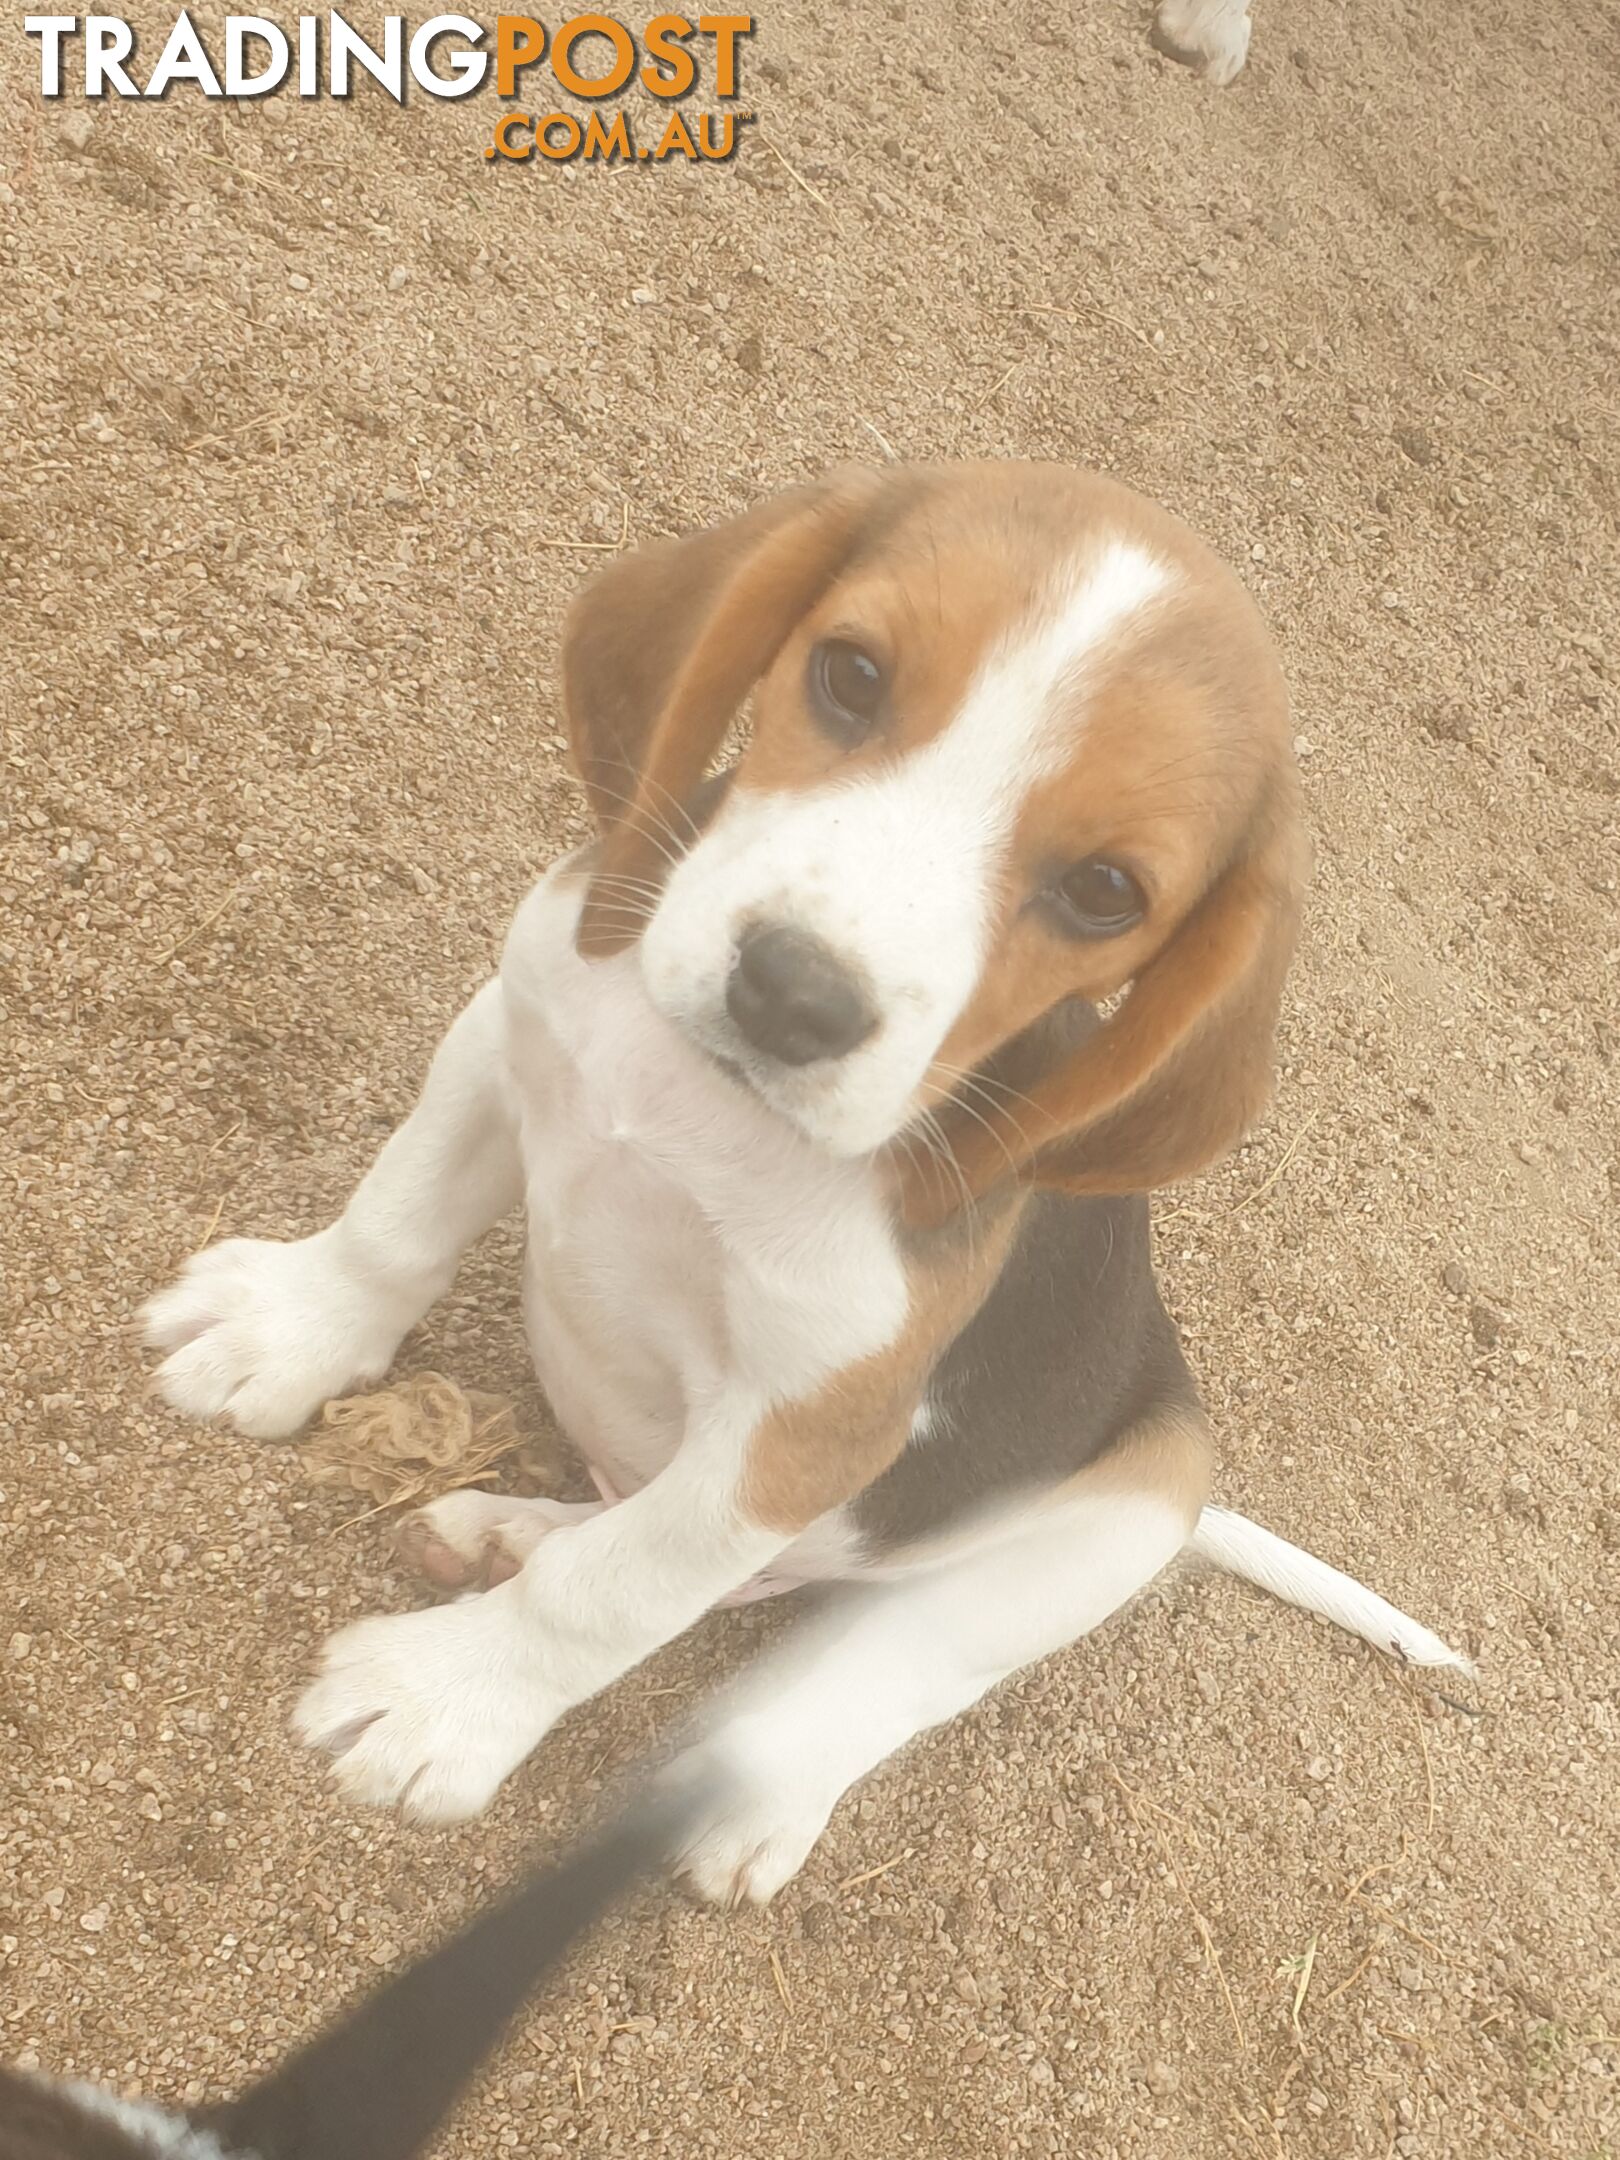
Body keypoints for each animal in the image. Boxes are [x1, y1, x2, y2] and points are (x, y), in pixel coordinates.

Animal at [145, 460, 1468, 1909]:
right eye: (849, 675)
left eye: (1108, 891)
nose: (792, 995)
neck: (715, 1112)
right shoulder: (507, 1031)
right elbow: (395, 1224)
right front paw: (281, 1334)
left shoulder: (803, 1437)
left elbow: (606, 1595)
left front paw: (441, 1700)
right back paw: (508, 1532)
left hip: (1111, 1519)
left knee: (871, 1667)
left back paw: (752, 1778)